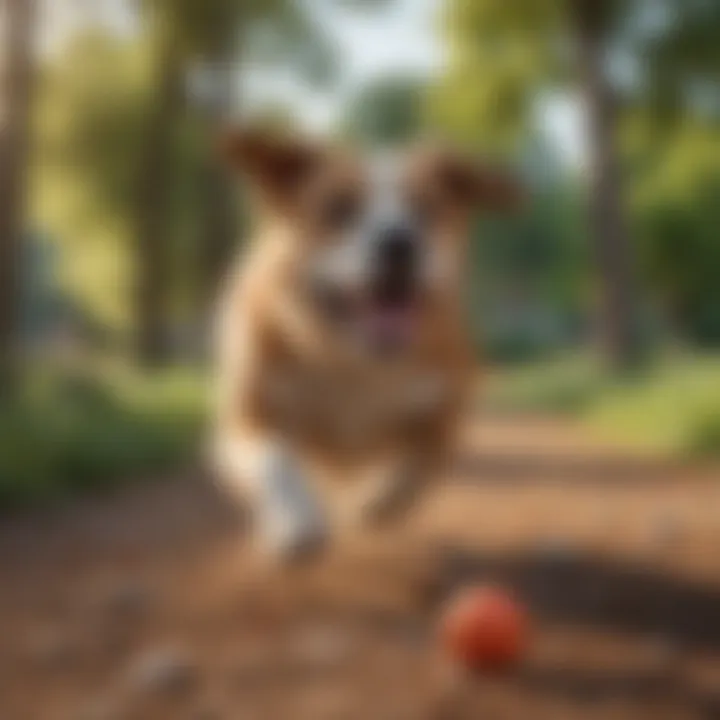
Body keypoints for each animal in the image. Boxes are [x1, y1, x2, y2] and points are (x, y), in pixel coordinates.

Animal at [211, 129, 520, 560]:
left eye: (427, 208)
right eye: (339, 207)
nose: (400, 242)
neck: (353, 360)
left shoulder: (443, 411)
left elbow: (421, 462)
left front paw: (375, 502)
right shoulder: (248, 416)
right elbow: (277, 459)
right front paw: (297, 523)